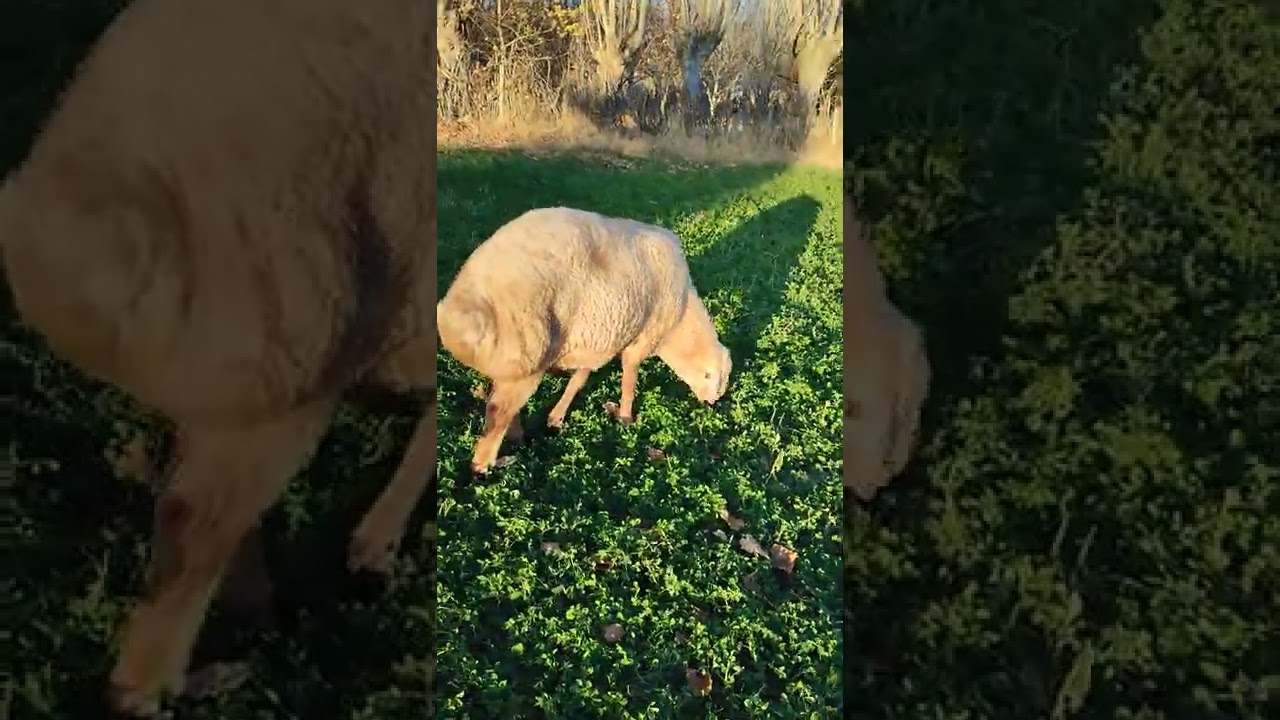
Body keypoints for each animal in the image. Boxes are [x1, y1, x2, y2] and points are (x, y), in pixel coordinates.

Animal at [437, 206, 732, 474]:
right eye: (714, 378)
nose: (712, 403)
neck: (680, 319)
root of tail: (462, 308)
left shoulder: (598, 339)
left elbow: (579, 380)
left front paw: (556, 418)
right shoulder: (642, 339)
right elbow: (629, 378)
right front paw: (626, 418)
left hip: (516, 362)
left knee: (503, 404)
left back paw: (516, 438)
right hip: (529, 354)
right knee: (497, 413)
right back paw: (489, 464)